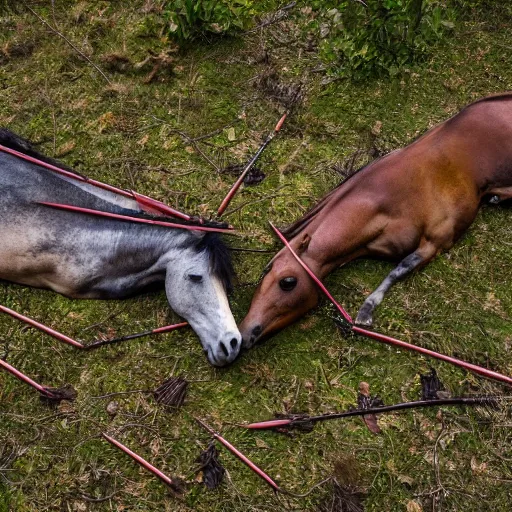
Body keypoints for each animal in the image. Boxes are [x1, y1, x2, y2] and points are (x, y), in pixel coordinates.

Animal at [240, 92, 512, 348]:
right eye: (266, 271)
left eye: (288, 282)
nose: (243, 334)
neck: (387, 198)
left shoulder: (438, 239)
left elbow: (400, 269)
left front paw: (366, 311)